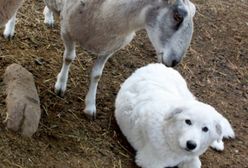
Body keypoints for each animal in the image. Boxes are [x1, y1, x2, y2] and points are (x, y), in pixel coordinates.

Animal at [44, 0, 196, 119]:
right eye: (177, 16)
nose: (175, 62)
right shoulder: (67, 31)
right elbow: (68, 58)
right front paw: (60, 85)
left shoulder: (109, 49)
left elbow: (96, 75)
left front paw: (90, 106)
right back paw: (49, 17)